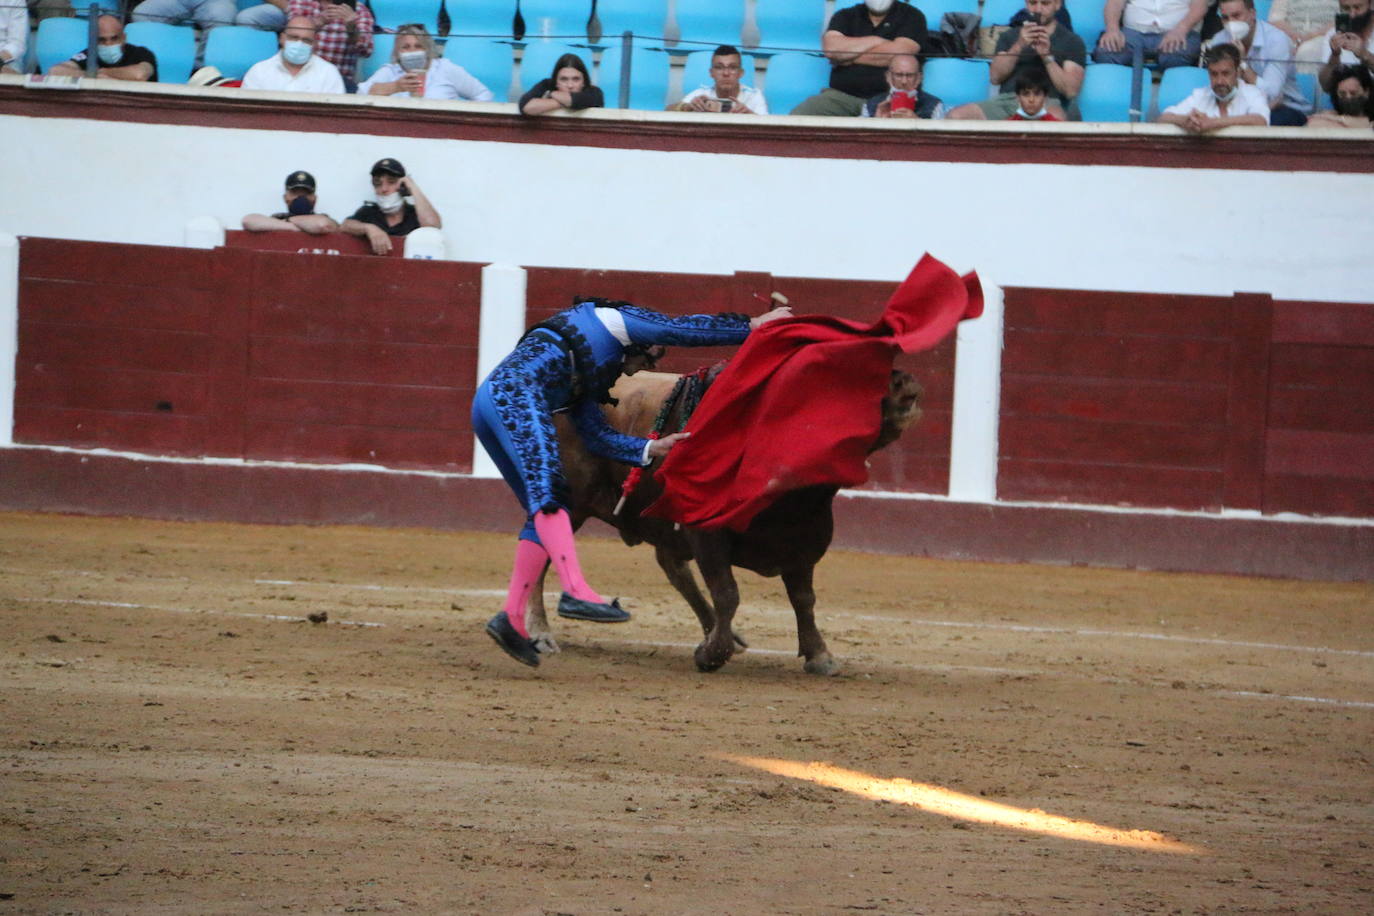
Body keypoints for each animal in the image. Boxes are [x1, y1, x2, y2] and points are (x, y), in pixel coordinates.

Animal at [524, 365, 923, 672]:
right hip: (568, 503)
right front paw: (712, 655)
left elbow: (804, 599)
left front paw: (820, 656)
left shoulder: (804, 541)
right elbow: (728, 592)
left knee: (672, 566)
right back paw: (539, 632)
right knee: (542, 556)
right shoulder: (707, 534)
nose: (905, 383)